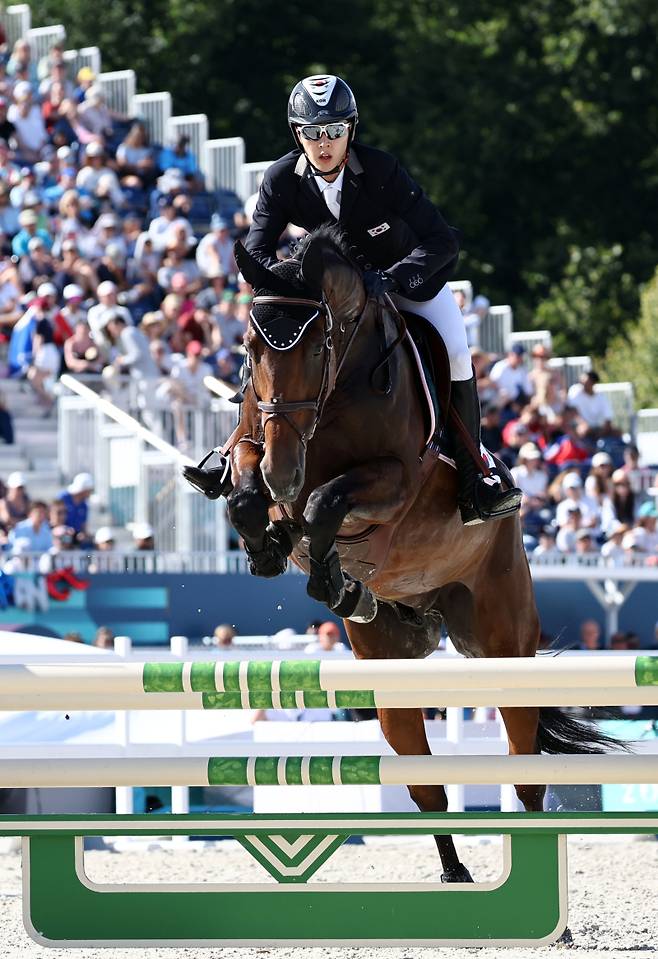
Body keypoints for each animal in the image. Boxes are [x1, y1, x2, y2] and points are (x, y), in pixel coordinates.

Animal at [187, 227, 616, 884]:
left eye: (318, 348)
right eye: (250, 350)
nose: (285, 472)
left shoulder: (392, 485)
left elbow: (325, 504)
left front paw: (326, 572)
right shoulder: (255, 447)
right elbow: (244, 491)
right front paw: (276, 551)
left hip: (504, 642)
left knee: (525, 776)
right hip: (392, 670)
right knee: (426, 784)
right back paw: (454, 872)